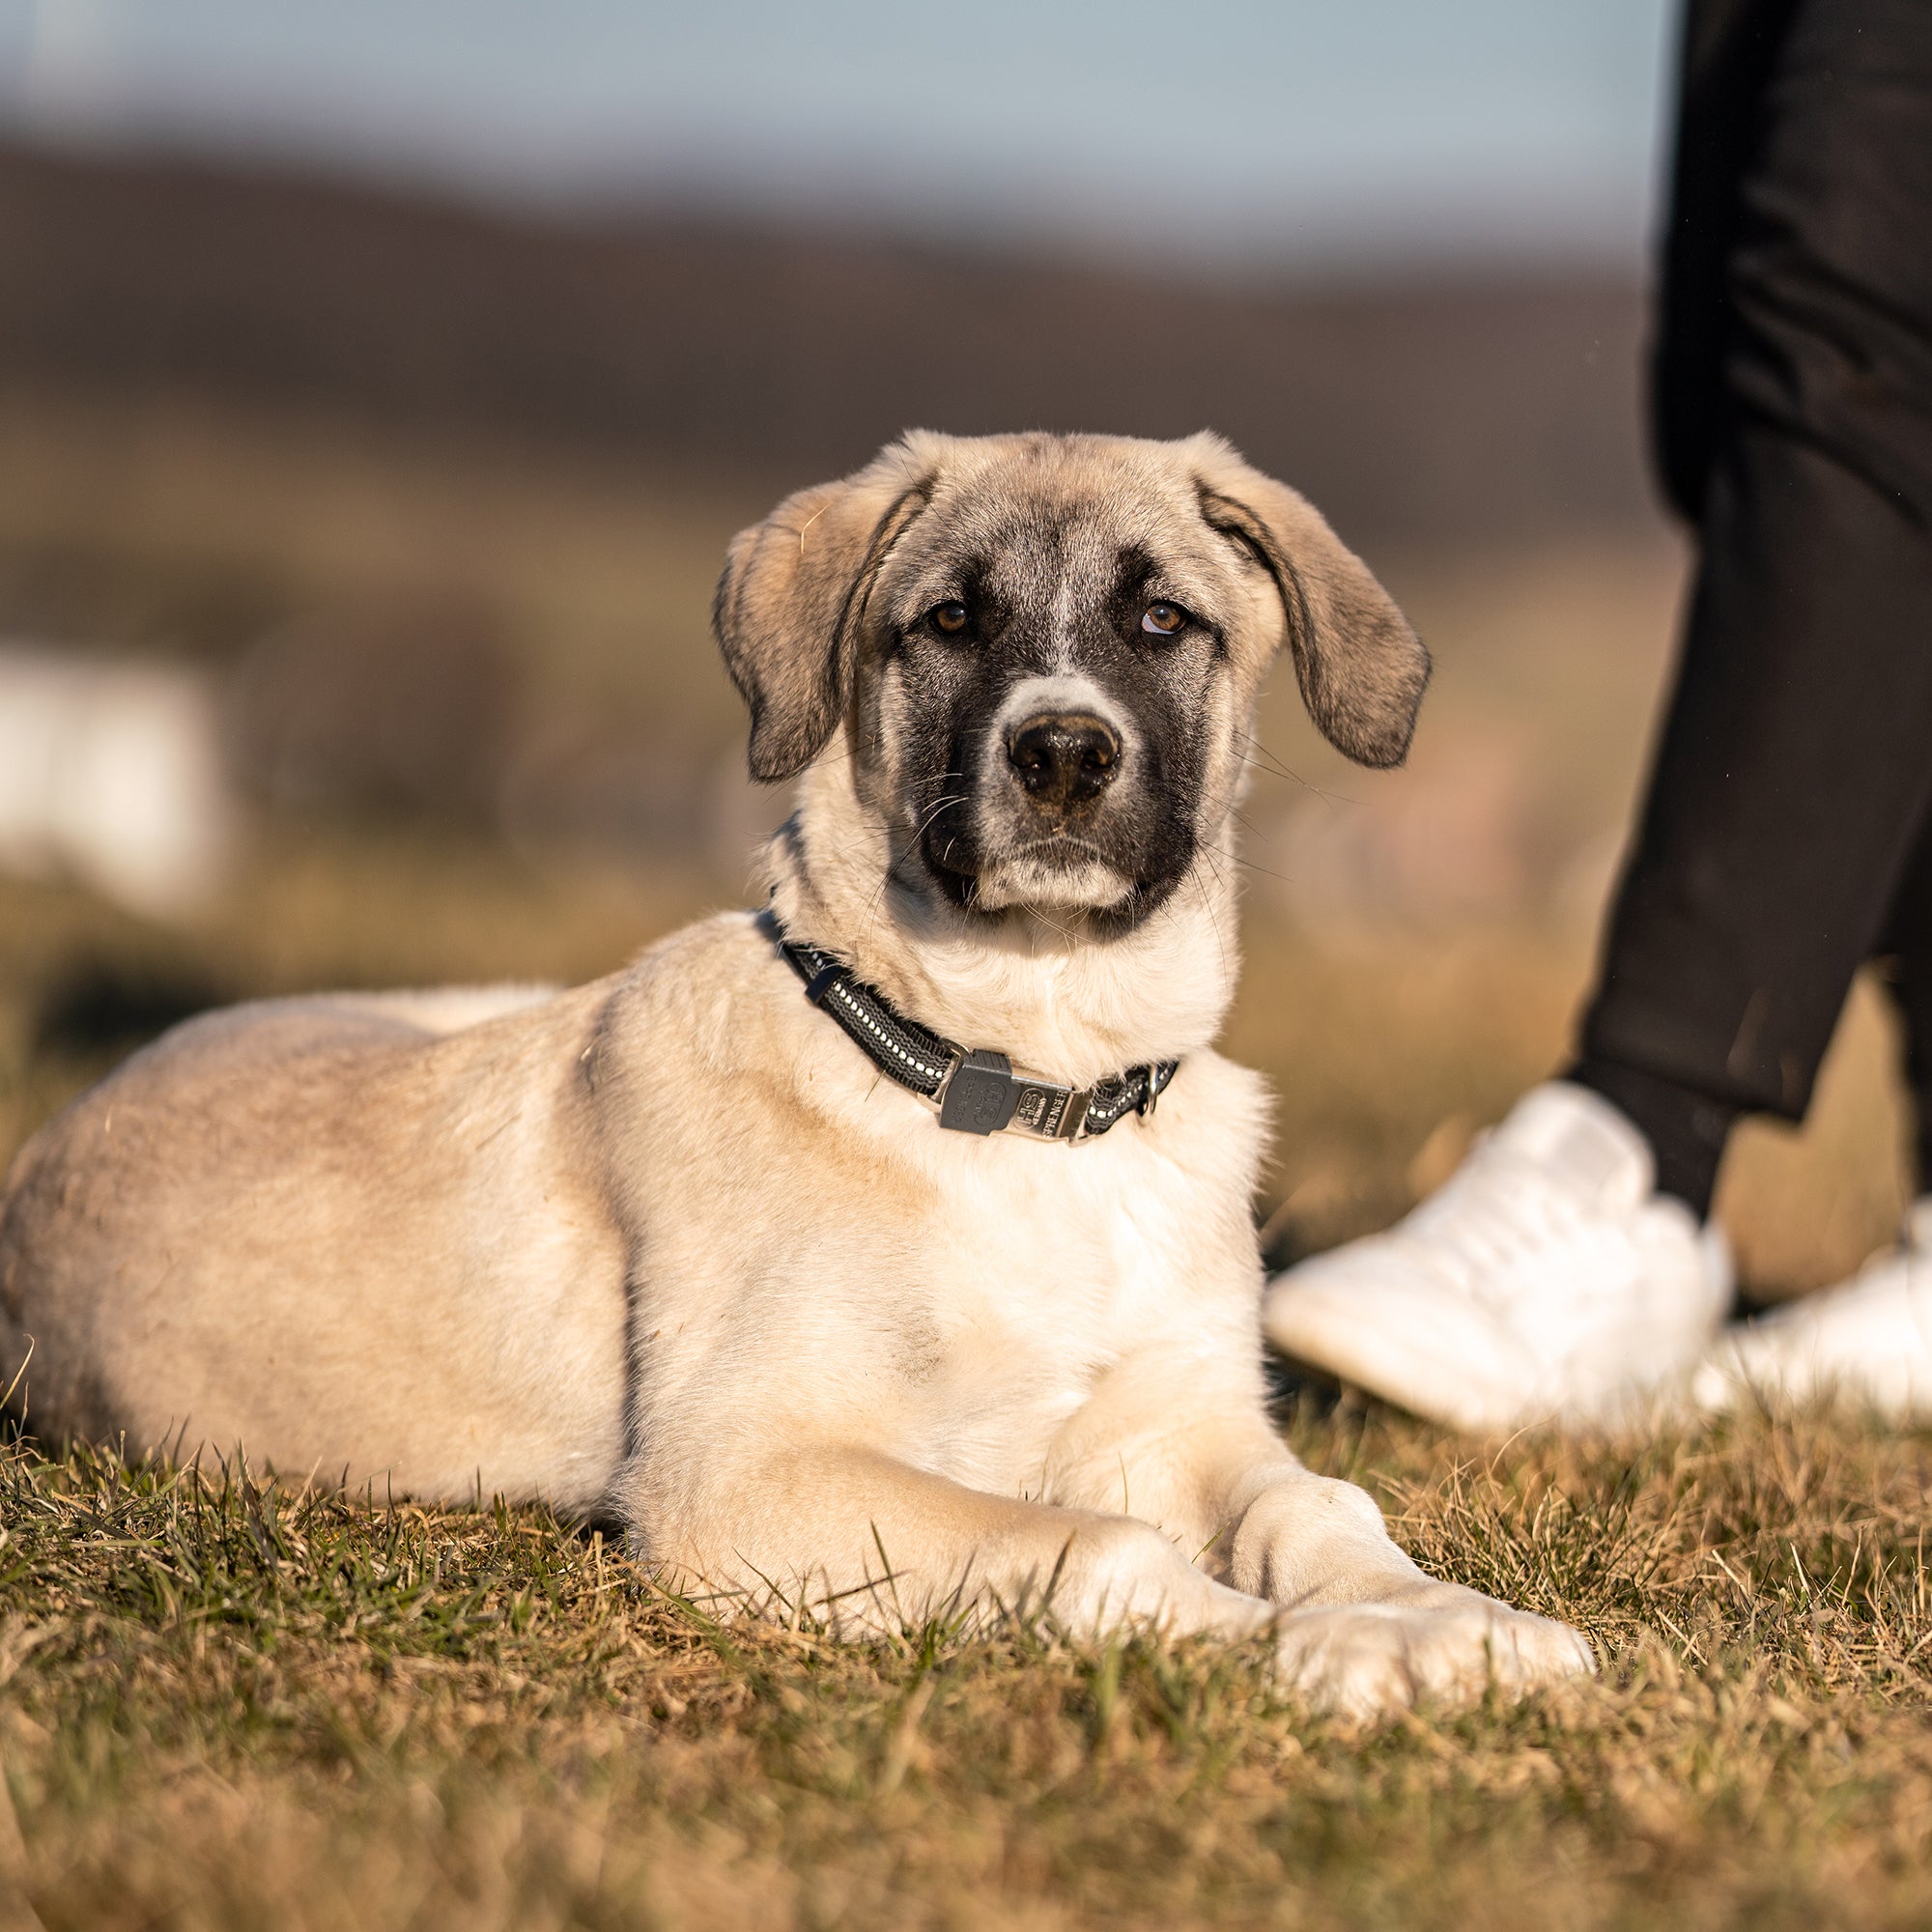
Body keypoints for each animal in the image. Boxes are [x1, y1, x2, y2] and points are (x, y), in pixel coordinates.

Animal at [0, 431, 1592, 1716]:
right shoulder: (741, 1472)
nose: (1062, 754)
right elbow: (1098, 1552)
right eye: (947, 619)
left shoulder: (1181, 1416)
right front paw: (1328, 1651)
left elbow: (1317, 1508)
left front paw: (1449, 1617)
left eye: (1163, 618)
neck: (1020, 1087)